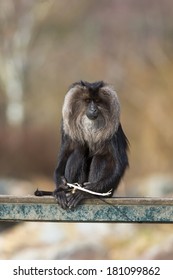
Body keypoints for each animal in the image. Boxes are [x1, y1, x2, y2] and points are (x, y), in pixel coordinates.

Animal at [35, 80, 129, 209]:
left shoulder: (114, 130)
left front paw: (85, 192)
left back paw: (89, 193)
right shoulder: (66, 127)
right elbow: (65, 155)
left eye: (97, 101)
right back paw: (71, 190)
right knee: (78, 151)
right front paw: (60, 188)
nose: (93, 109)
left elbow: (118, 163)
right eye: (88, 101)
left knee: (101, 157)